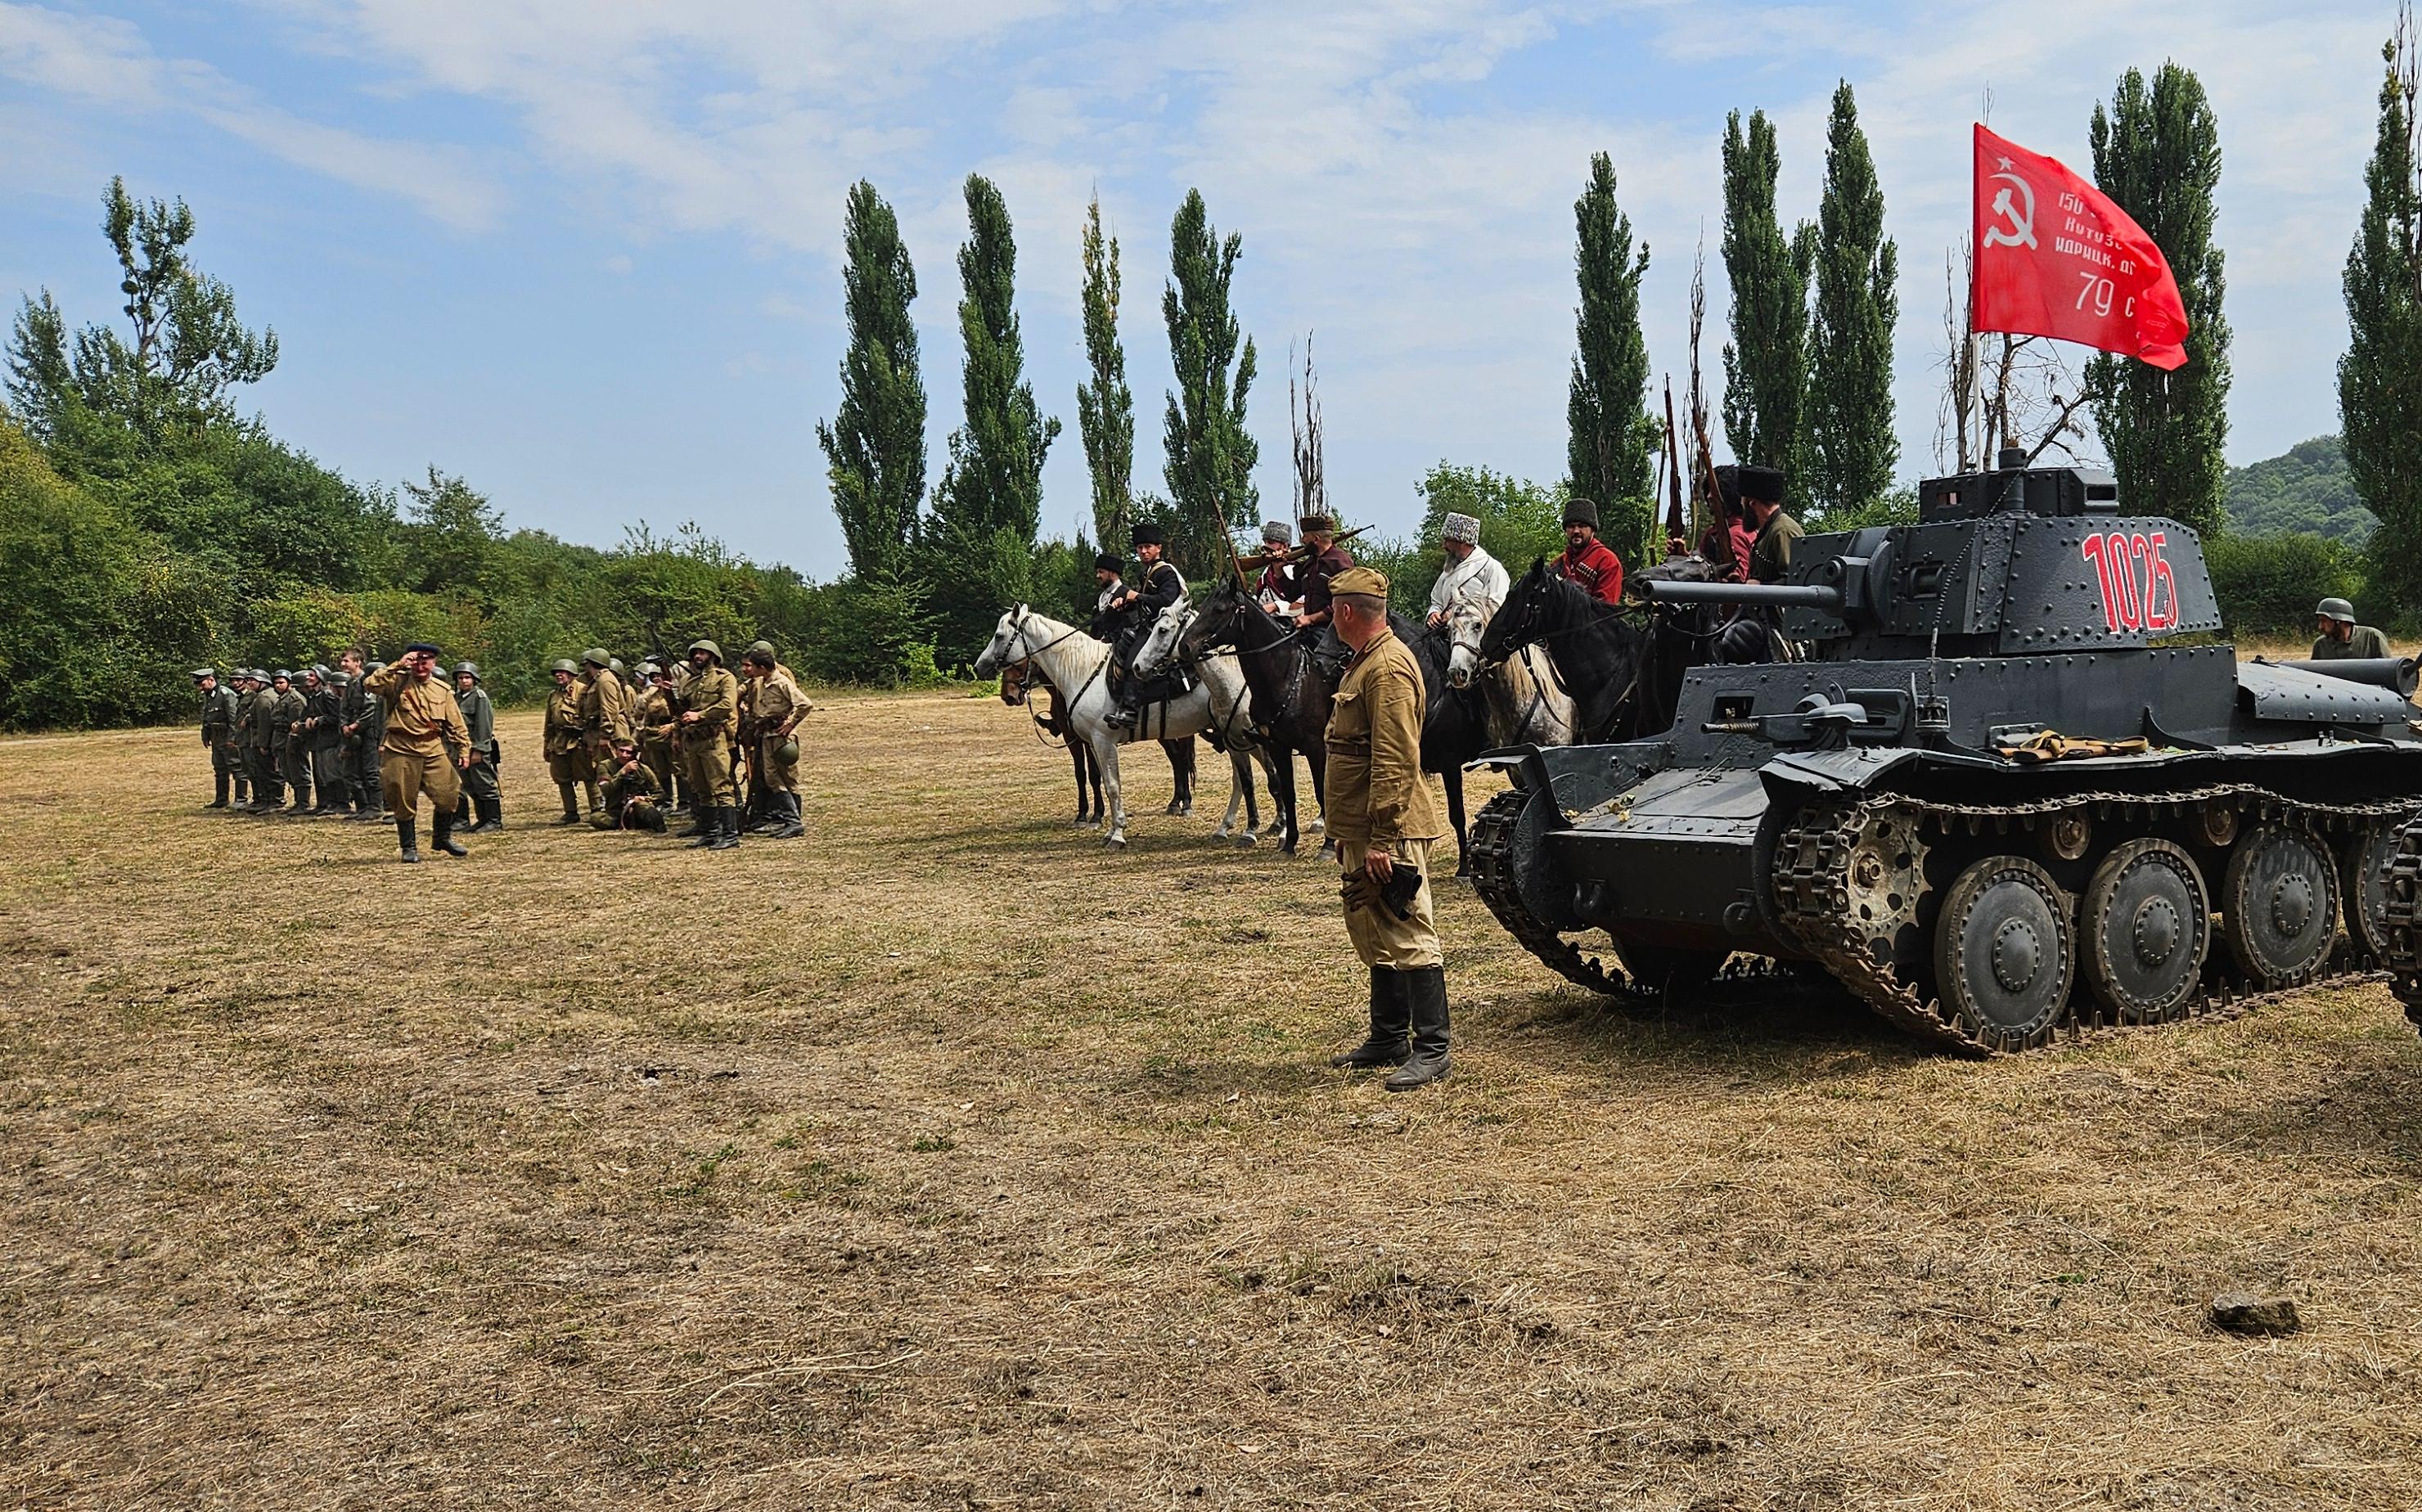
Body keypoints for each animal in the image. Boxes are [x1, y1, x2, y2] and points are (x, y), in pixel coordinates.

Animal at [969, 610, 1269, 853]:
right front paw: (1108, 828)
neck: (1083, 669)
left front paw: (1117, 834)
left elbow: (1112, 785)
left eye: (999, 635)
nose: (980, 666)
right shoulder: (1092, 743)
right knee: (1242, 777)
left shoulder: (1103, 741)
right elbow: (1100, 780)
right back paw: (1236, 827)